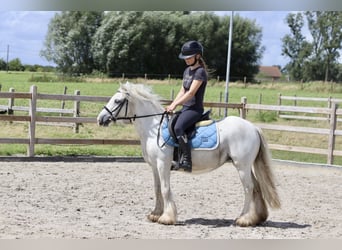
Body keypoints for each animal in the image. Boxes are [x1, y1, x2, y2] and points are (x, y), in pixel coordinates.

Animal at [97, 82, 280, 227]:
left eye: (117, 101)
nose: (101, 119)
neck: (153, 128)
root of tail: (253, 127)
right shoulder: (154, 166)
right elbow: (157, 189)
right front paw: (155, 214)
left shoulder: (163, 164)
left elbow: (165, 189)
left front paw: (167, 217)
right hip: (247, 166)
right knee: (256, 187)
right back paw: (256, 218)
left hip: (241, 166)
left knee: (248, 188)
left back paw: (243, 219)